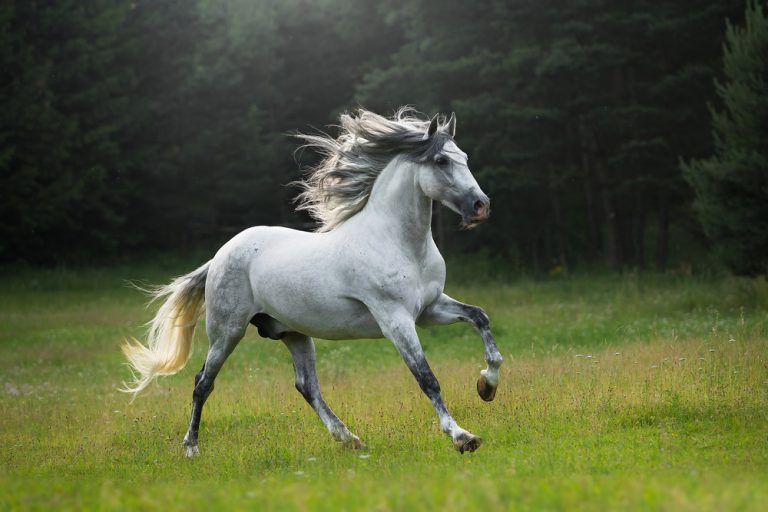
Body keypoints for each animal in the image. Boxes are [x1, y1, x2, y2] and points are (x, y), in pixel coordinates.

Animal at [122, 107, 500, 456]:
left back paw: (349, 438)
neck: (398, 242)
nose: (480, 206)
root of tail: (221, 255)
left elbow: (480, 318)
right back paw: (191, 448)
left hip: (293, 332)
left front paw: (487, 386)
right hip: (227, 331)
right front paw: (463, 437)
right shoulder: (396, 319)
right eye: (441, 160)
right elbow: (427, 378)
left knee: (307, 386)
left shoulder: (430, 309)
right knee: (203, 382)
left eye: (464, 158)